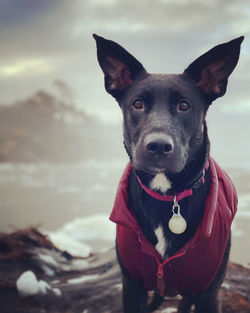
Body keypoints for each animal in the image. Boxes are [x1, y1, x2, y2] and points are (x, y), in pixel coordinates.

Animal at [93, 34, 243, 312]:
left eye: (184, 105)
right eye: (137, 104)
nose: (159, 146)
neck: (167, 196)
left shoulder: (209, 292)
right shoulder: (132, 287)